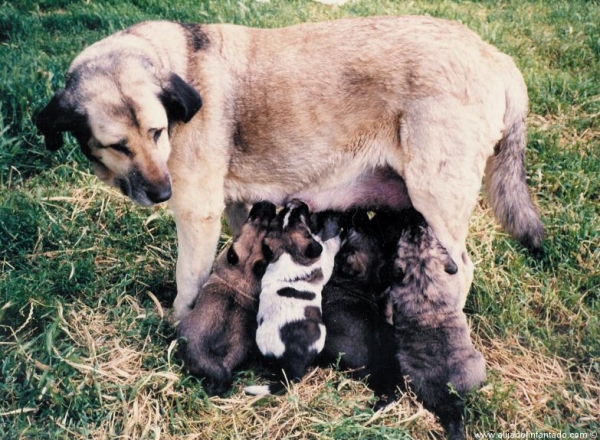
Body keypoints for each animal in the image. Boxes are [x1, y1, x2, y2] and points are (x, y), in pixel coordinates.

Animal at [35, 17, 548, 320]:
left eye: (158, 132)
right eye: (117, 146)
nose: (161, 194)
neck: (174, 62)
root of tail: (495, 56)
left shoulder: (197, 213)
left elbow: (189, 278)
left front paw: (179, 325)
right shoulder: (237, 209)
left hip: (436, 196)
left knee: (461, 269)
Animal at [243, 199, 338, 396]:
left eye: (283, 213)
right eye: (300, 216)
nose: (296, 201)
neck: (287, 251)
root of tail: (291, 366)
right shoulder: (324, 262)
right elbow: (329, 246)